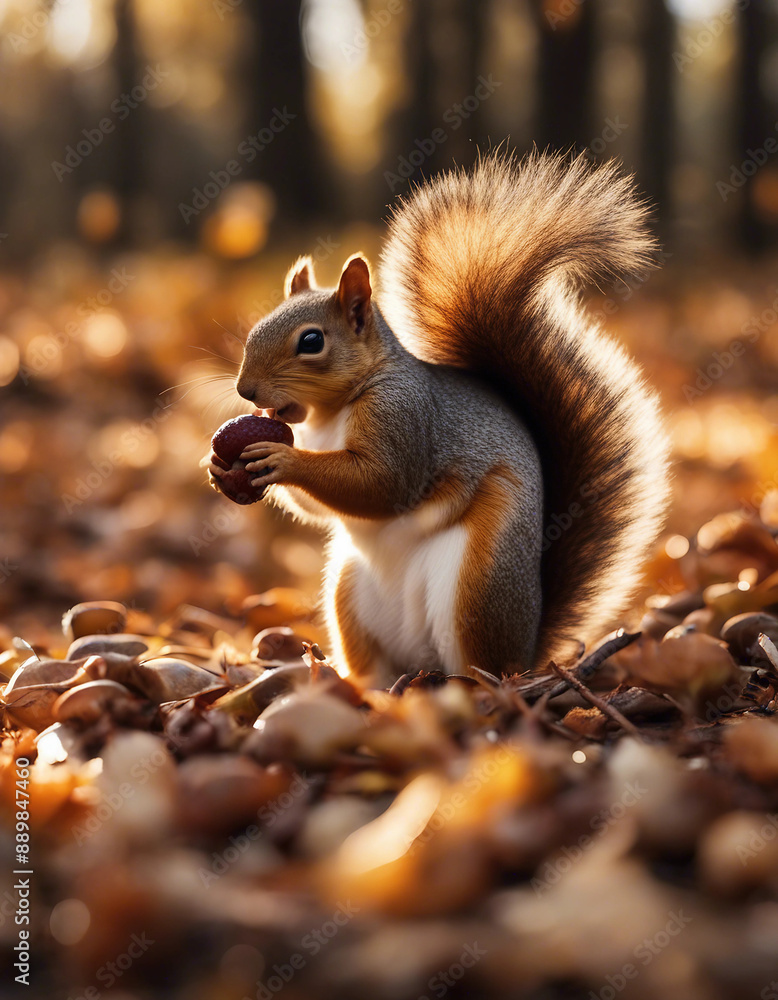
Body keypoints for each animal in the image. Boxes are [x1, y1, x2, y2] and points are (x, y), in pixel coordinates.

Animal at [207, 151, 671, 684]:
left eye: (311, 341)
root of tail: (528, 652)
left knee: (483, 665)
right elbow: (319, 507)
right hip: (349, 591)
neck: (331, 413)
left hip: (479, 585)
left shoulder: (404, 416)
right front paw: (220, 469)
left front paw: (283, 460)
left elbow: (382, 483)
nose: (246, 390)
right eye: (254, 330)